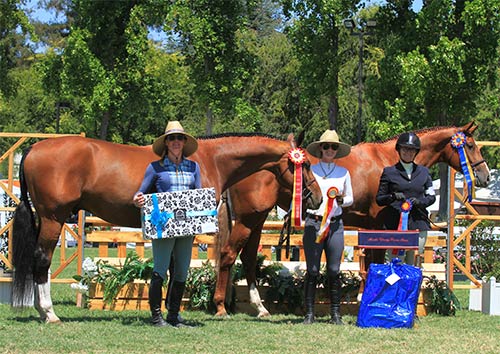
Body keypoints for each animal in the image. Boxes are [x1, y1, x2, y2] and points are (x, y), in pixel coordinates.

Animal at [13, 132, 324, 320]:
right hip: (53, 219)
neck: (211, 159)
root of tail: (33, 148)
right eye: (305, 165)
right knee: (42, 261)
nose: (318, 197)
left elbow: (176, 268)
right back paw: (49, 313)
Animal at [214, 123, 488, 316]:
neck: (389, 162)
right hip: (249, 219)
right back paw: (220, 307)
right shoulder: (378, 225)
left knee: (248, 258)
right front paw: (368, 298)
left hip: (256, 220)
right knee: (229, 254)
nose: (484, 175)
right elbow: (375, 261)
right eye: (470, 145)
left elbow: (369, 263)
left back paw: (259, 308)